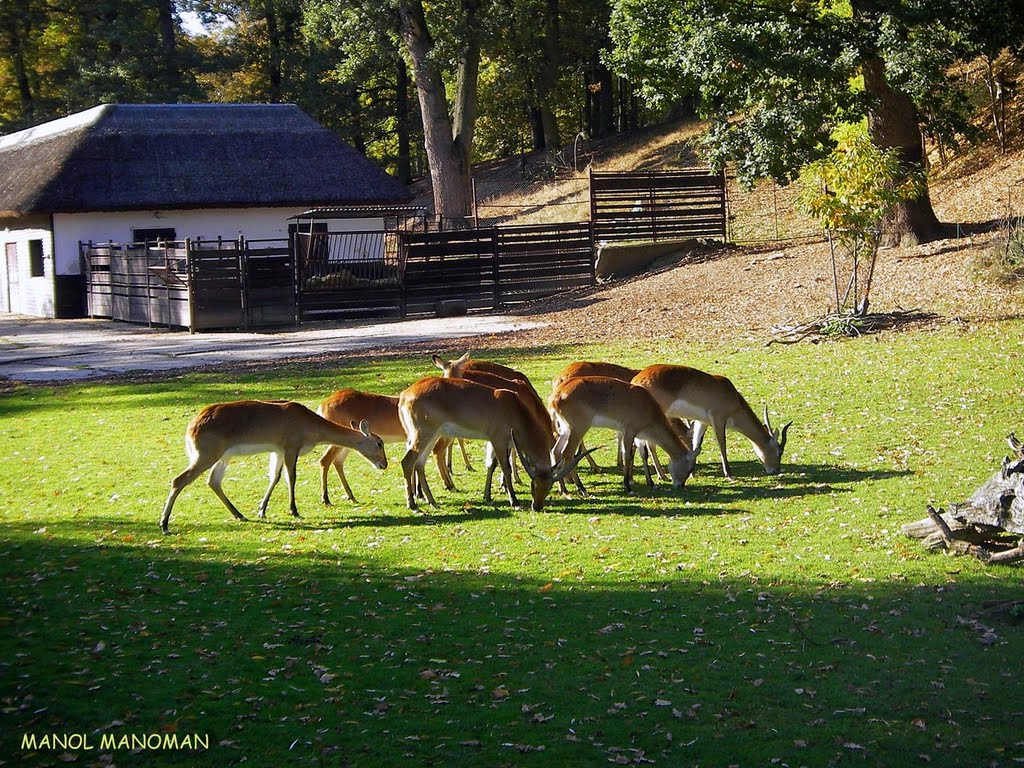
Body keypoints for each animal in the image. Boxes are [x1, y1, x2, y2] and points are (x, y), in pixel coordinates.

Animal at [159, 403, 387, 536]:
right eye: (379, 443)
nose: (384, 464)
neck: (312, 427)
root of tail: (191, 427)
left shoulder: (277, 450)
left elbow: (274, 477)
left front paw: (262, 510)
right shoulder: (291, 447)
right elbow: (291, 477)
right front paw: (294, 510)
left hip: (223, 455)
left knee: (213, 481)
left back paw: (239, 515)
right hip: (207, 454)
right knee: (179, 480)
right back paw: (164, 524)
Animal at [315, 391, 452, 505]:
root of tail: (323, 405)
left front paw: (417, 494)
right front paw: (420, 494)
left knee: (337, 461)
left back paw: (351, 496)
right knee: (325, 460)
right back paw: (326, 499)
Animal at [399, 376, 593, 514]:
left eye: (549, 486)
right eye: (533, 484)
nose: (536, 506)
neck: (514, 409)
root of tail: (404, 394)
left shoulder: (496, 441)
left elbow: (491, 464)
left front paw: (488, 496)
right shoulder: (499, 440)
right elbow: (506, 468)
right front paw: (514, 501)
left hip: (432, 436)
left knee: (419, 463)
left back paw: (432, 501)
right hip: (424, 435)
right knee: (407, 461)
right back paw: (413, 505)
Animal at [552, 376, 696, 493]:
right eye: (690, 469)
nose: (680, 485)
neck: (648, 407)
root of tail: (555, 395)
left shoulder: (638, 435)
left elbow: (643, 454)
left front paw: (651, 483)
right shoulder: (629, 431)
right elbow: (627, 454)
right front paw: (627, 485)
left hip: (565, 429)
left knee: (556, 451)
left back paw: (563, 489)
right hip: (578, 428)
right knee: (568, 453)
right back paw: (581, 488)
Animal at [630, 366, 790, 481]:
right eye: (779, 451)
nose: (776, 471)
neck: (733, 398)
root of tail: (636, 380)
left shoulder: (702, 422)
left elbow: (696, 444)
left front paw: (691, 472)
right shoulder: (718, 419)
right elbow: (722, 444)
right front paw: (729, 474)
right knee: (649, 444)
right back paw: (661, 476)